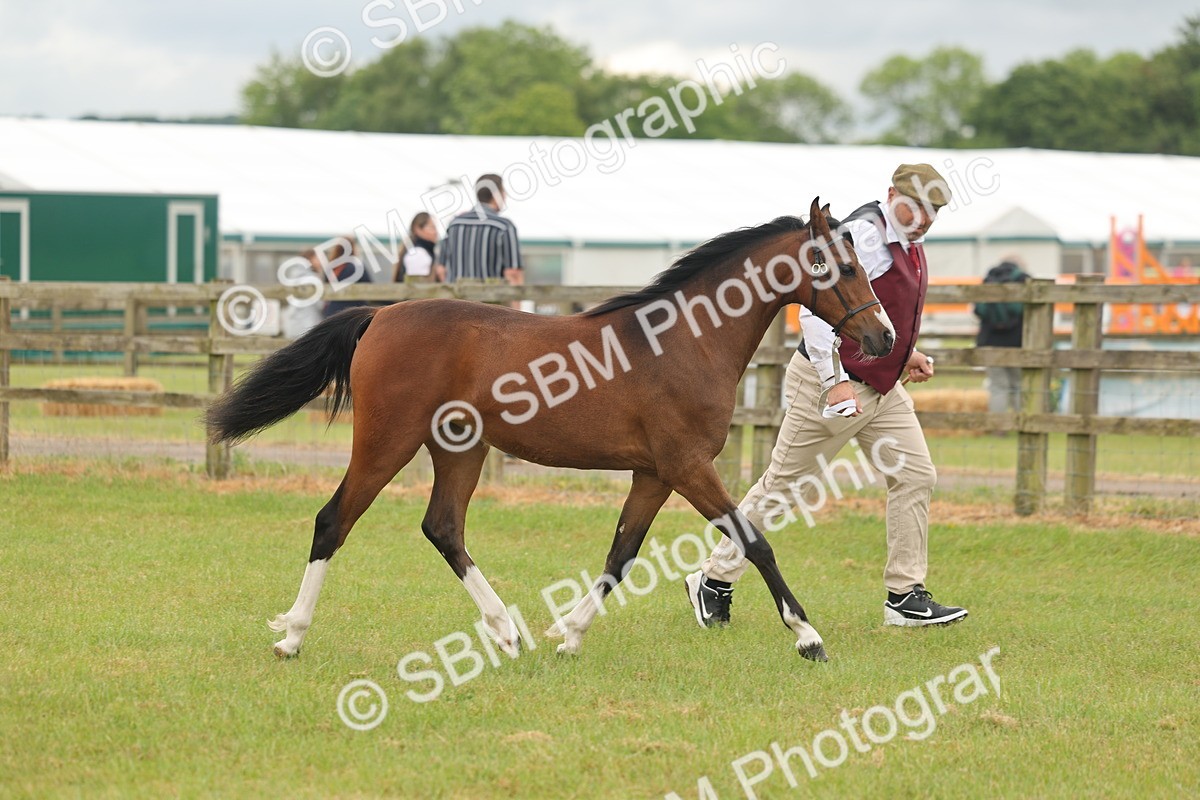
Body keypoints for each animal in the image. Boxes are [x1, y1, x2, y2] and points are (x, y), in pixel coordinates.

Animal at [206, 198, 895, 663]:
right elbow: (755, 541)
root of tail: (379, 316)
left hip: (460, 449)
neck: (683, 341)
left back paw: (507, 632)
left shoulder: (654, 472)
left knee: (443, 528)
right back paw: (292, 636)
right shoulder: (687, 466)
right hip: (386, 442)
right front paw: (808, 637)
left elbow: (621, 554)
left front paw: (568, 634)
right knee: (334, 521)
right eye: (842, 266)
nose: (884, 337)